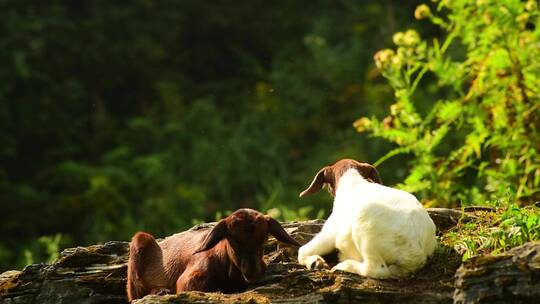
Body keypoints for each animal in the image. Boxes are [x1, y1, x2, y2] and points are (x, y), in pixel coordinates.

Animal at [126, 208, 300, 300]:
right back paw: (160, 291)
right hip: (138, 244)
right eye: (233, 239)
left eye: (264, 238)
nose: (253, 272)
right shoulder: (187, 280)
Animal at [298, 159, 436, 278]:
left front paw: (315, 262)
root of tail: (416, 254)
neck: (353, 182)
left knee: (376, 269)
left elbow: (302, 251)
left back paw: (343, 265)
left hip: (365, 234)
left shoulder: (329, 233)